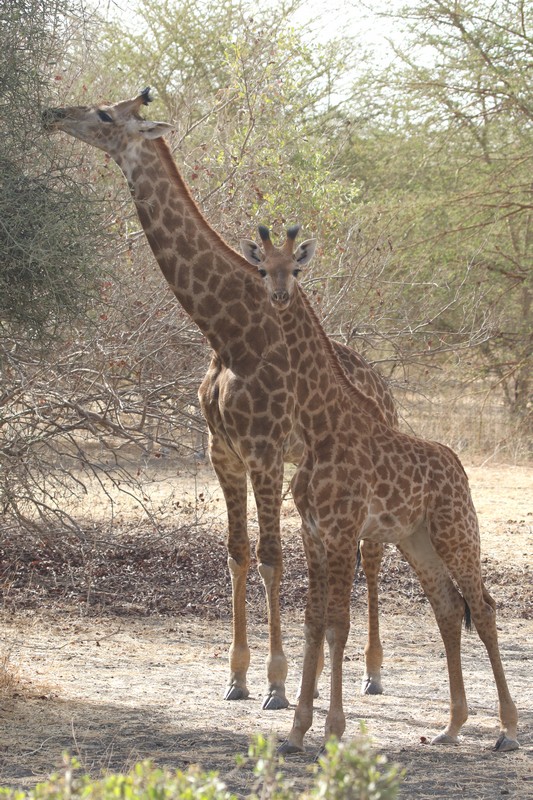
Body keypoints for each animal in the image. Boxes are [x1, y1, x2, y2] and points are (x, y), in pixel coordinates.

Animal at [44, 89, 394, 708]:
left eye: (107, 115)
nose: (53, 115)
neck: (228, 334)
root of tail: (386, 391)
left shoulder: (264, 450)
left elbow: (271, 557)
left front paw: (276, 684)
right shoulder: (222, 452)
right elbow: (237, 554)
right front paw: (237, 677)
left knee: (370, 554)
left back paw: (372, 672)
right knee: (334, 549)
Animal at [242, 227, 520, 756]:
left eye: (297, 268)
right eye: (263, 268)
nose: (280, 296)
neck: (320, 426)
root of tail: (459, 467)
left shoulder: (342, 530)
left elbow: (338, 625)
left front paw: (332, 732)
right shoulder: (313, 532)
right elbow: (313, 623)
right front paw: (295, 732)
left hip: (456, 532)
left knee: (484, 608)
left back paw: (508, 731)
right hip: (416, 540)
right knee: (448, 607)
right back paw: (451, 727)